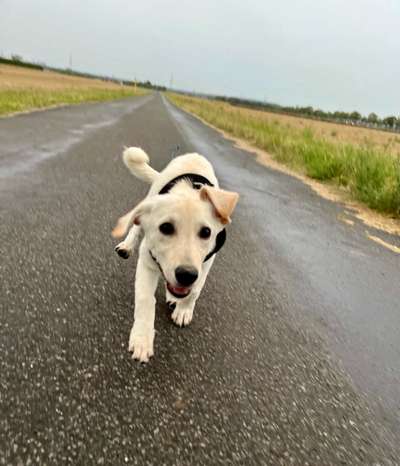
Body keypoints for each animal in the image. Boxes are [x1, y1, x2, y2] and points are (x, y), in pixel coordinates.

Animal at [111, 147, 239, 362]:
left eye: (206, 232)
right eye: (165, 228)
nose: (186, 275)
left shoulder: (206, 262)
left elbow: (195, 290)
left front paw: (184, 309)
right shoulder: (147, 261)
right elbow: (145, 299)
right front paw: (142, 338)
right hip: (148, 200)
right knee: (135, 225)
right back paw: (127, 245)